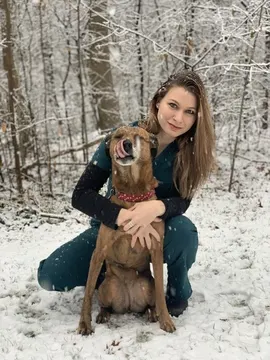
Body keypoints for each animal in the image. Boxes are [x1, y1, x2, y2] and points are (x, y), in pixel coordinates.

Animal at [77, 126, 176, 334]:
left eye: (139, 136)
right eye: (118, 136)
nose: (126, 144)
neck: (133, 195)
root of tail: (129, 304)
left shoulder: (156, 248)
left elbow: (161, 292)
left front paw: (166, 320)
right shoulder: (99, 251)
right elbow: (88, 291)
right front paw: (84, 324)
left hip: (147, 285)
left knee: (151, 302)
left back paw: (152, 313)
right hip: (107, 286)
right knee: (105, 304)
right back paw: (103, 314)